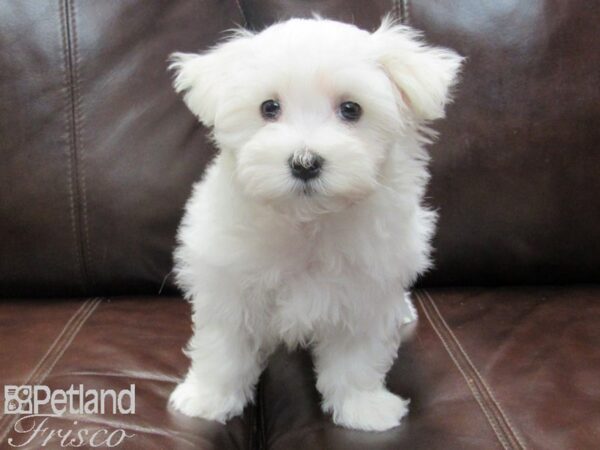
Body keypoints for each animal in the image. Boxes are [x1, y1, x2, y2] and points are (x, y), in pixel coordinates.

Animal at [169, 16, 464, 432]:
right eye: (269, 107)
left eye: (351, 109)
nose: (305, 162)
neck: (307, 222)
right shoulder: (230, 283)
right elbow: (223, 346)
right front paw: (207, 399)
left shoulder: (364, 292)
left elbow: (357, 358)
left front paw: (363, 408)